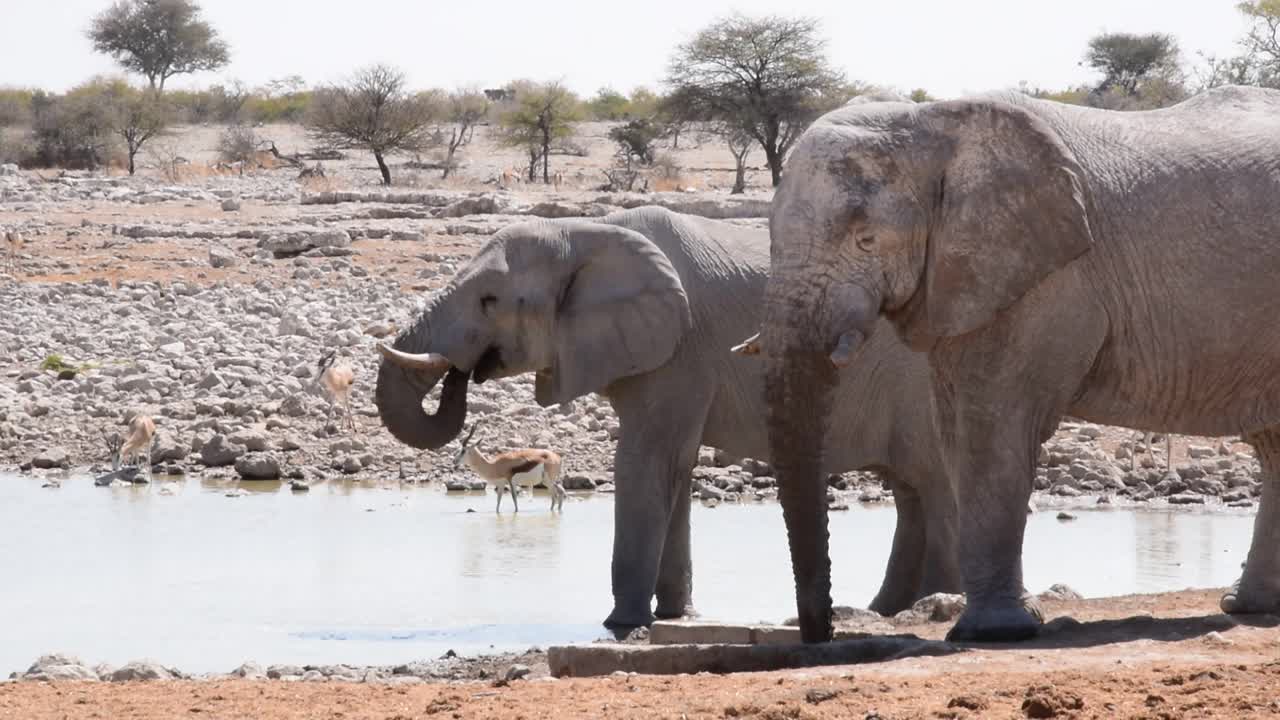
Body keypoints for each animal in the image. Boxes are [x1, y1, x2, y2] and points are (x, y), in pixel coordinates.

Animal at [373, 204, 962, 625]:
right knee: (911, 489)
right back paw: (891, 609)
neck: (586, 232)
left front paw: (621, 624)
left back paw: (939, 603)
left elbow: (647, 460)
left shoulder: (682, 347)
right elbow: (675, 468)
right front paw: (676, 616)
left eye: (490, 301)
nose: (462, 372)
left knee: (933, 482)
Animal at [747, 85, 1280, 645]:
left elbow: (993, 426)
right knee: (1273, 445)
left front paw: (994, 632)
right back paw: (1249, 606)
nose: (821, 633)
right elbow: (957, 431)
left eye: (866, 239)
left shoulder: (1046, 279)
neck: (932, 123)